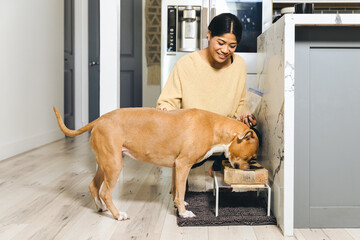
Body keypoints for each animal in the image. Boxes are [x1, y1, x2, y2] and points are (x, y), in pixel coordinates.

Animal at [52, 108, 258, 220]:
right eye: (252, 157)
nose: (249, 169)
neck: (214, 127)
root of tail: (100, 119)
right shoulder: (183, 164)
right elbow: (181, 190)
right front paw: (184, 213)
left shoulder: (176, 167)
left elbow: (177, 190)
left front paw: (178, 204)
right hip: (114, 164)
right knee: (105, 192)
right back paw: (118, 215)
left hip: (105, 163)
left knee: (93, 186)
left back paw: (101, 207)